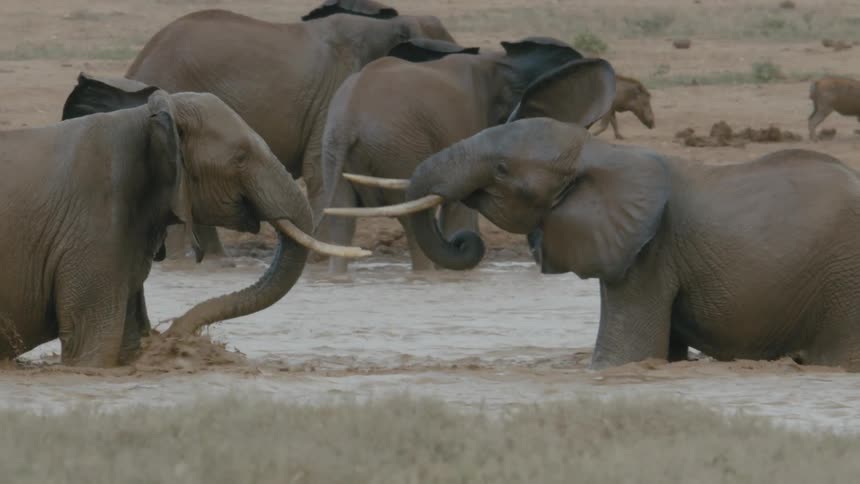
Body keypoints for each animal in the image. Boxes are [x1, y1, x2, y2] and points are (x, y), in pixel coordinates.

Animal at [0, 86, 368, 367]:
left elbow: (123, 343)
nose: (172, 333)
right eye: (240, 158)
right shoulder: (93, 228)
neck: (147, 117)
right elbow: (93, 346)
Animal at [317, 37, 591, 273]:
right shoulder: (469, 121)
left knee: (341, 218)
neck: (502, 63)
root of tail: (347, 123)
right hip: (396, 149)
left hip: (334, 150)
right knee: (410, 219)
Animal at [325, 78, 860, 371]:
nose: (465, 240)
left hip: (844, 280)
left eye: (502, 169)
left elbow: (621, 354)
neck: (597, 154)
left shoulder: (648, 251)